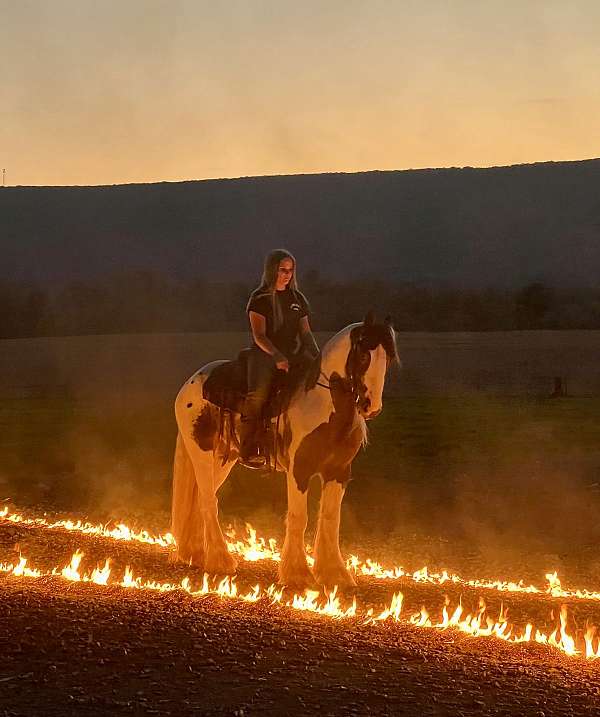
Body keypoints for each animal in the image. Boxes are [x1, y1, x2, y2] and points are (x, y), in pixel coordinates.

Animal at [169, 314, 398, 588]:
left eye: (388, 358)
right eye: (364, 355)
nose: (371, 407)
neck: (322, 402)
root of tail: (191, 382)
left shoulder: (339, 472)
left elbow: (331, 518)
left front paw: (335, 573)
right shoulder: (299, 471)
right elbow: (299, 517)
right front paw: (298, 574)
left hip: (224, 459)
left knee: (202, 498)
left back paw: (196, 553)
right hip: (201, 452)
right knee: (207, 500)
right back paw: (220, 560)